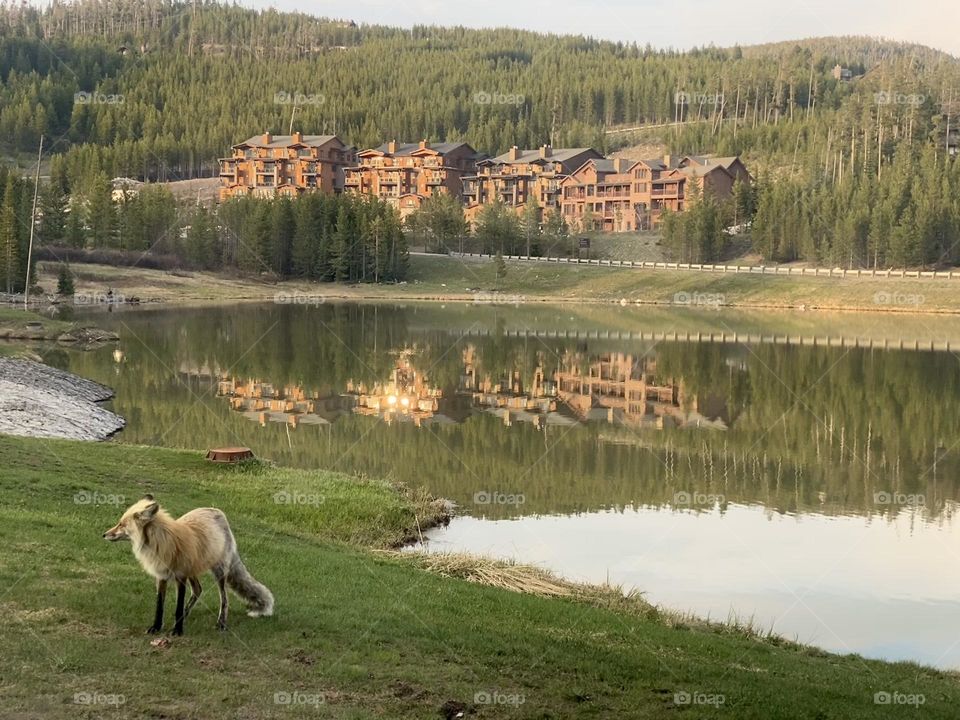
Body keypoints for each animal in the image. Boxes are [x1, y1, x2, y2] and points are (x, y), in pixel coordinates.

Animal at [103, 495, 273, 636]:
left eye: (121, 524)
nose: (104, 534)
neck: (161, 545)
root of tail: (216, 510)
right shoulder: (161, 577)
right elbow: (159, 606)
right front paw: (156, 627)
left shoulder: (181, 577)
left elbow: (178, 607)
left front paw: (177, 630)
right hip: (193, 571)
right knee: (198, 590)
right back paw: (185, 616)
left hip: (218, 572)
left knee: (224, 599)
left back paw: (221, 623)